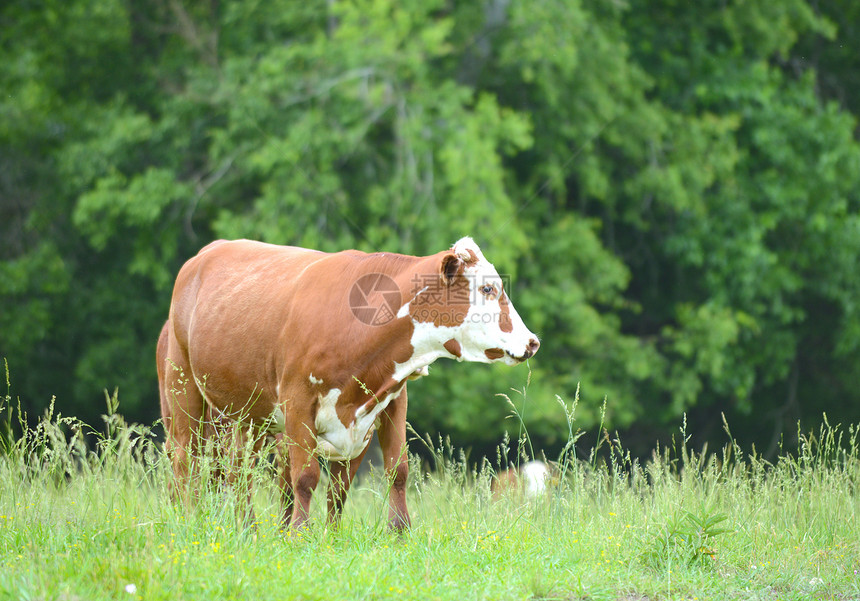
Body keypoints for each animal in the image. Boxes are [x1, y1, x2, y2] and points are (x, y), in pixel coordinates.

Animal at [158, 237, 536, 528]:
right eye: (487, 288)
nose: (533, 342)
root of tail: (204, 254)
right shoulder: (297, 403)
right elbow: (305, 477)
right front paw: (300, 535)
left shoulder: (383, 404)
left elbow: (385, 475)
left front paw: (392, 534)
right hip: (183, 393)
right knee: (185, 461)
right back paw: (188, 522)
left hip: (243, 417)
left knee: (236, 472)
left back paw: (247, 529)